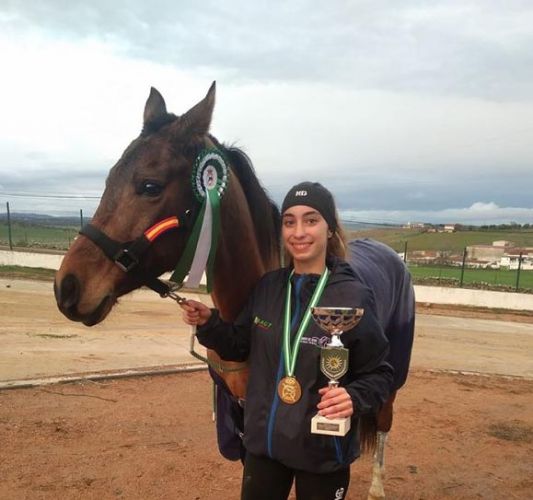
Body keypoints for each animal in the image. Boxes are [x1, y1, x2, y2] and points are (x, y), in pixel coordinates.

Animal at [54, 84, 414, 498]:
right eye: (109, 179)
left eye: (149, 186)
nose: (67, 287)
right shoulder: (240, 413)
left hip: (393, 378)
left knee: (384, 424)